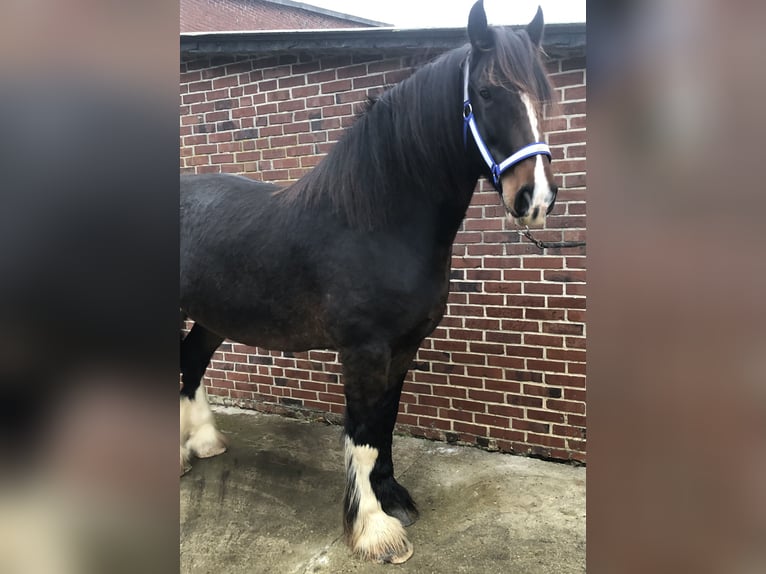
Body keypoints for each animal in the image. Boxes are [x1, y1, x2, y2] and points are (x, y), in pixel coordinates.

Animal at [180, 0, 557, 564]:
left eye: (543, 93)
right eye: (487, 93)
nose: (535, 199)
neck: (376, 226)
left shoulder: (402, 347)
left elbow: (384, 424)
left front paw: (391, 496)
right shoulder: (363, 351)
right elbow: (361, 433)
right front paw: (375, 529)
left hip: (212, 316)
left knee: (191, 360)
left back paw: (202, 443)